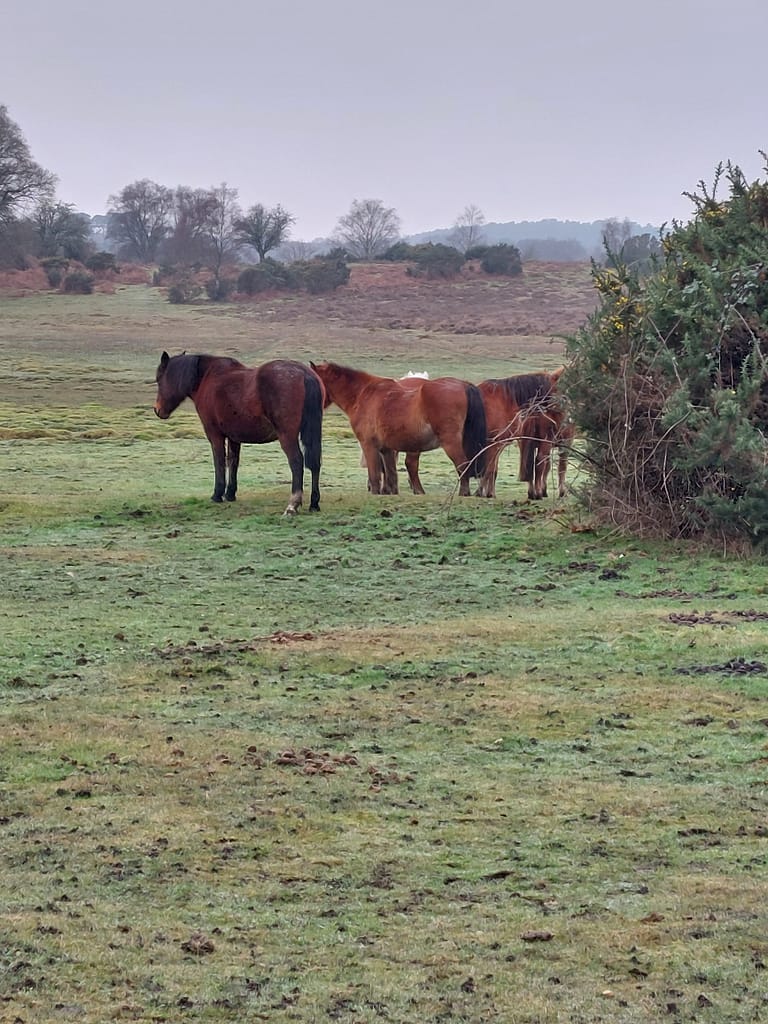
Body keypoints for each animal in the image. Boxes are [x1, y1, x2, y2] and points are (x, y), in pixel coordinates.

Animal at [153, 352, 324, 515]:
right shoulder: (234, 437)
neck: (207, 378)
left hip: (287, 436)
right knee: (315, 463)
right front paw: (230, 493)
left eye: (159, 380)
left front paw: (217, 494)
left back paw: (292, 505)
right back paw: (314, 503)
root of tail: (304, 374)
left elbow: (219, 462)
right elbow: (233, 462)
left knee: (296, 462)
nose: (157, 410)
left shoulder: (215, 435)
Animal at [309, 361, 486, 496]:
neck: (363, 394)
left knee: (462, 464)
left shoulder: (369, 445)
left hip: (450, 443)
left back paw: (463, 493)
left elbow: (375, 474)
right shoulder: (387, 449)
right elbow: (391, 475)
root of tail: (463, 385)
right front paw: (390, 492)